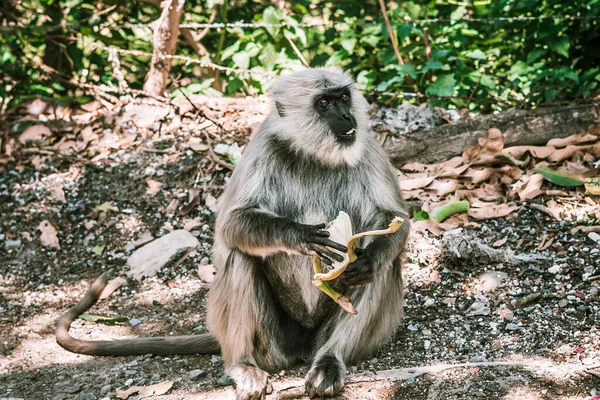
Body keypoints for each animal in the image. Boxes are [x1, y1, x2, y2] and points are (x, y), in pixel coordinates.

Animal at [54, 67, 410, 398]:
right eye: (324, 103)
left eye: (344, 98)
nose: (347, 116)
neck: (314, 154)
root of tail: (303, 345)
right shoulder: (264, 145)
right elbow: (231, 224)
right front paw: (298, 236)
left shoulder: (365, 142)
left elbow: (395, 219)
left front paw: (365, 260)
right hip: (271, 344)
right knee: (241, 256)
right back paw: (242, 366)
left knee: (378, 269)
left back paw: (330, 358)